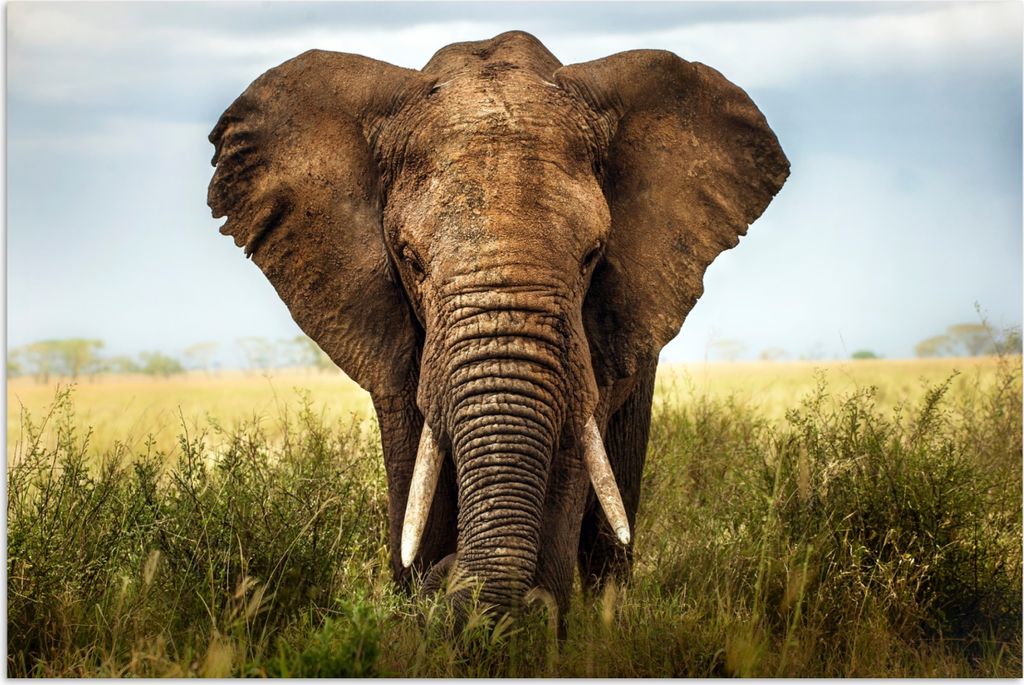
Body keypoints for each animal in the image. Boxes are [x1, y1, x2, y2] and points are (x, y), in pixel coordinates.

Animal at [208, 30, 788, 622]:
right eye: (410, 259)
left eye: (592, 256)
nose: (448, 579)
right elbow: (414, 468)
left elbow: (570, 458)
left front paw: (529, 625)